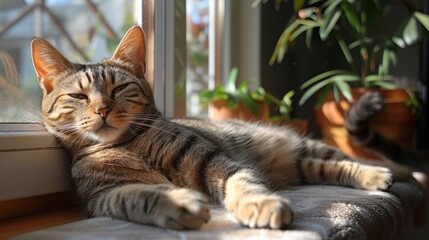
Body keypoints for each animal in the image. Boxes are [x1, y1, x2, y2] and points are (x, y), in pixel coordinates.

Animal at [31, 25, 400, 230]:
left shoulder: (212, 159)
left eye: (119, 88)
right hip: (302, 166)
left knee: (347, 159)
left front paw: (260, 204)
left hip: (307, 147)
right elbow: (139, 196)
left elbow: (242, 182)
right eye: (78, 96)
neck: (128, 145)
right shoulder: (107, 194)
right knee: (324, 167)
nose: (103, 109)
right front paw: (177, 204)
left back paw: (380, 173)